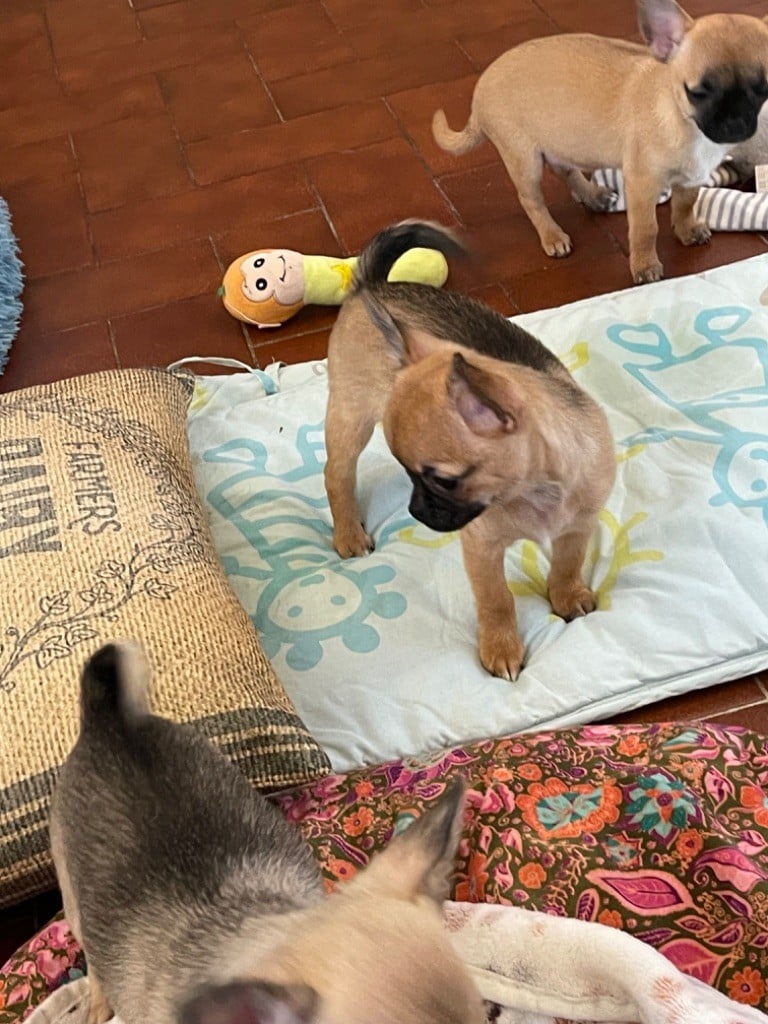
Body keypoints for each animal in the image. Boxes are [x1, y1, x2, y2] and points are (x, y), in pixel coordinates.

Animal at [324, 221, 616, 681]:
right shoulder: (482, 548)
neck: (534, 492)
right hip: (351, 416)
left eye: (444, 480)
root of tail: (371, 283)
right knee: (337, 474)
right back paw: (348, 534)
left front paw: (567, 597)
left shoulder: (577, 528)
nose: (415, 511)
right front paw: (501, 648)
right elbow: (497, 599)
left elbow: (567, 564)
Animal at [431, 0, 768, 284]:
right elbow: (646, 229)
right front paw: (645, 265)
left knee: (566, 171)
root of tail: (477, 98)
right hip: (524, 160)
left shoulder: (691, 178)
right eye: (698, 93)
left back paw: (592, 195)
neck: (683, 120)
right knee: (531, 200)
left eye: (763, 89)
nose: (736, 123)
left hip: (561, 142)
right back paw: (552, 235)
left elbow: (685, 205)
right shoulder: (643, 184)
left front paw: (686, 230)